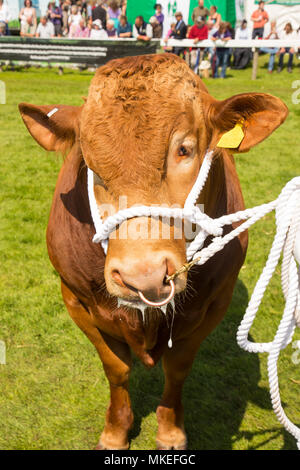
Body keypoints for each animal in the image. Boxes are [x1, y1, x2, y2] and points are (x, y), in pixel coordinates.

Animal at [19, 53, 288, 450]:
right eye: (89, 163)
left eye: (184, 149)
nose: (141, 275)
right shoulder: (75, 298)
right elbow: (116, 369)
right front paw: (115, 432)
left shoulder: (215, 303)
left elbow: (177, 367)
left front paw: (170, 430)